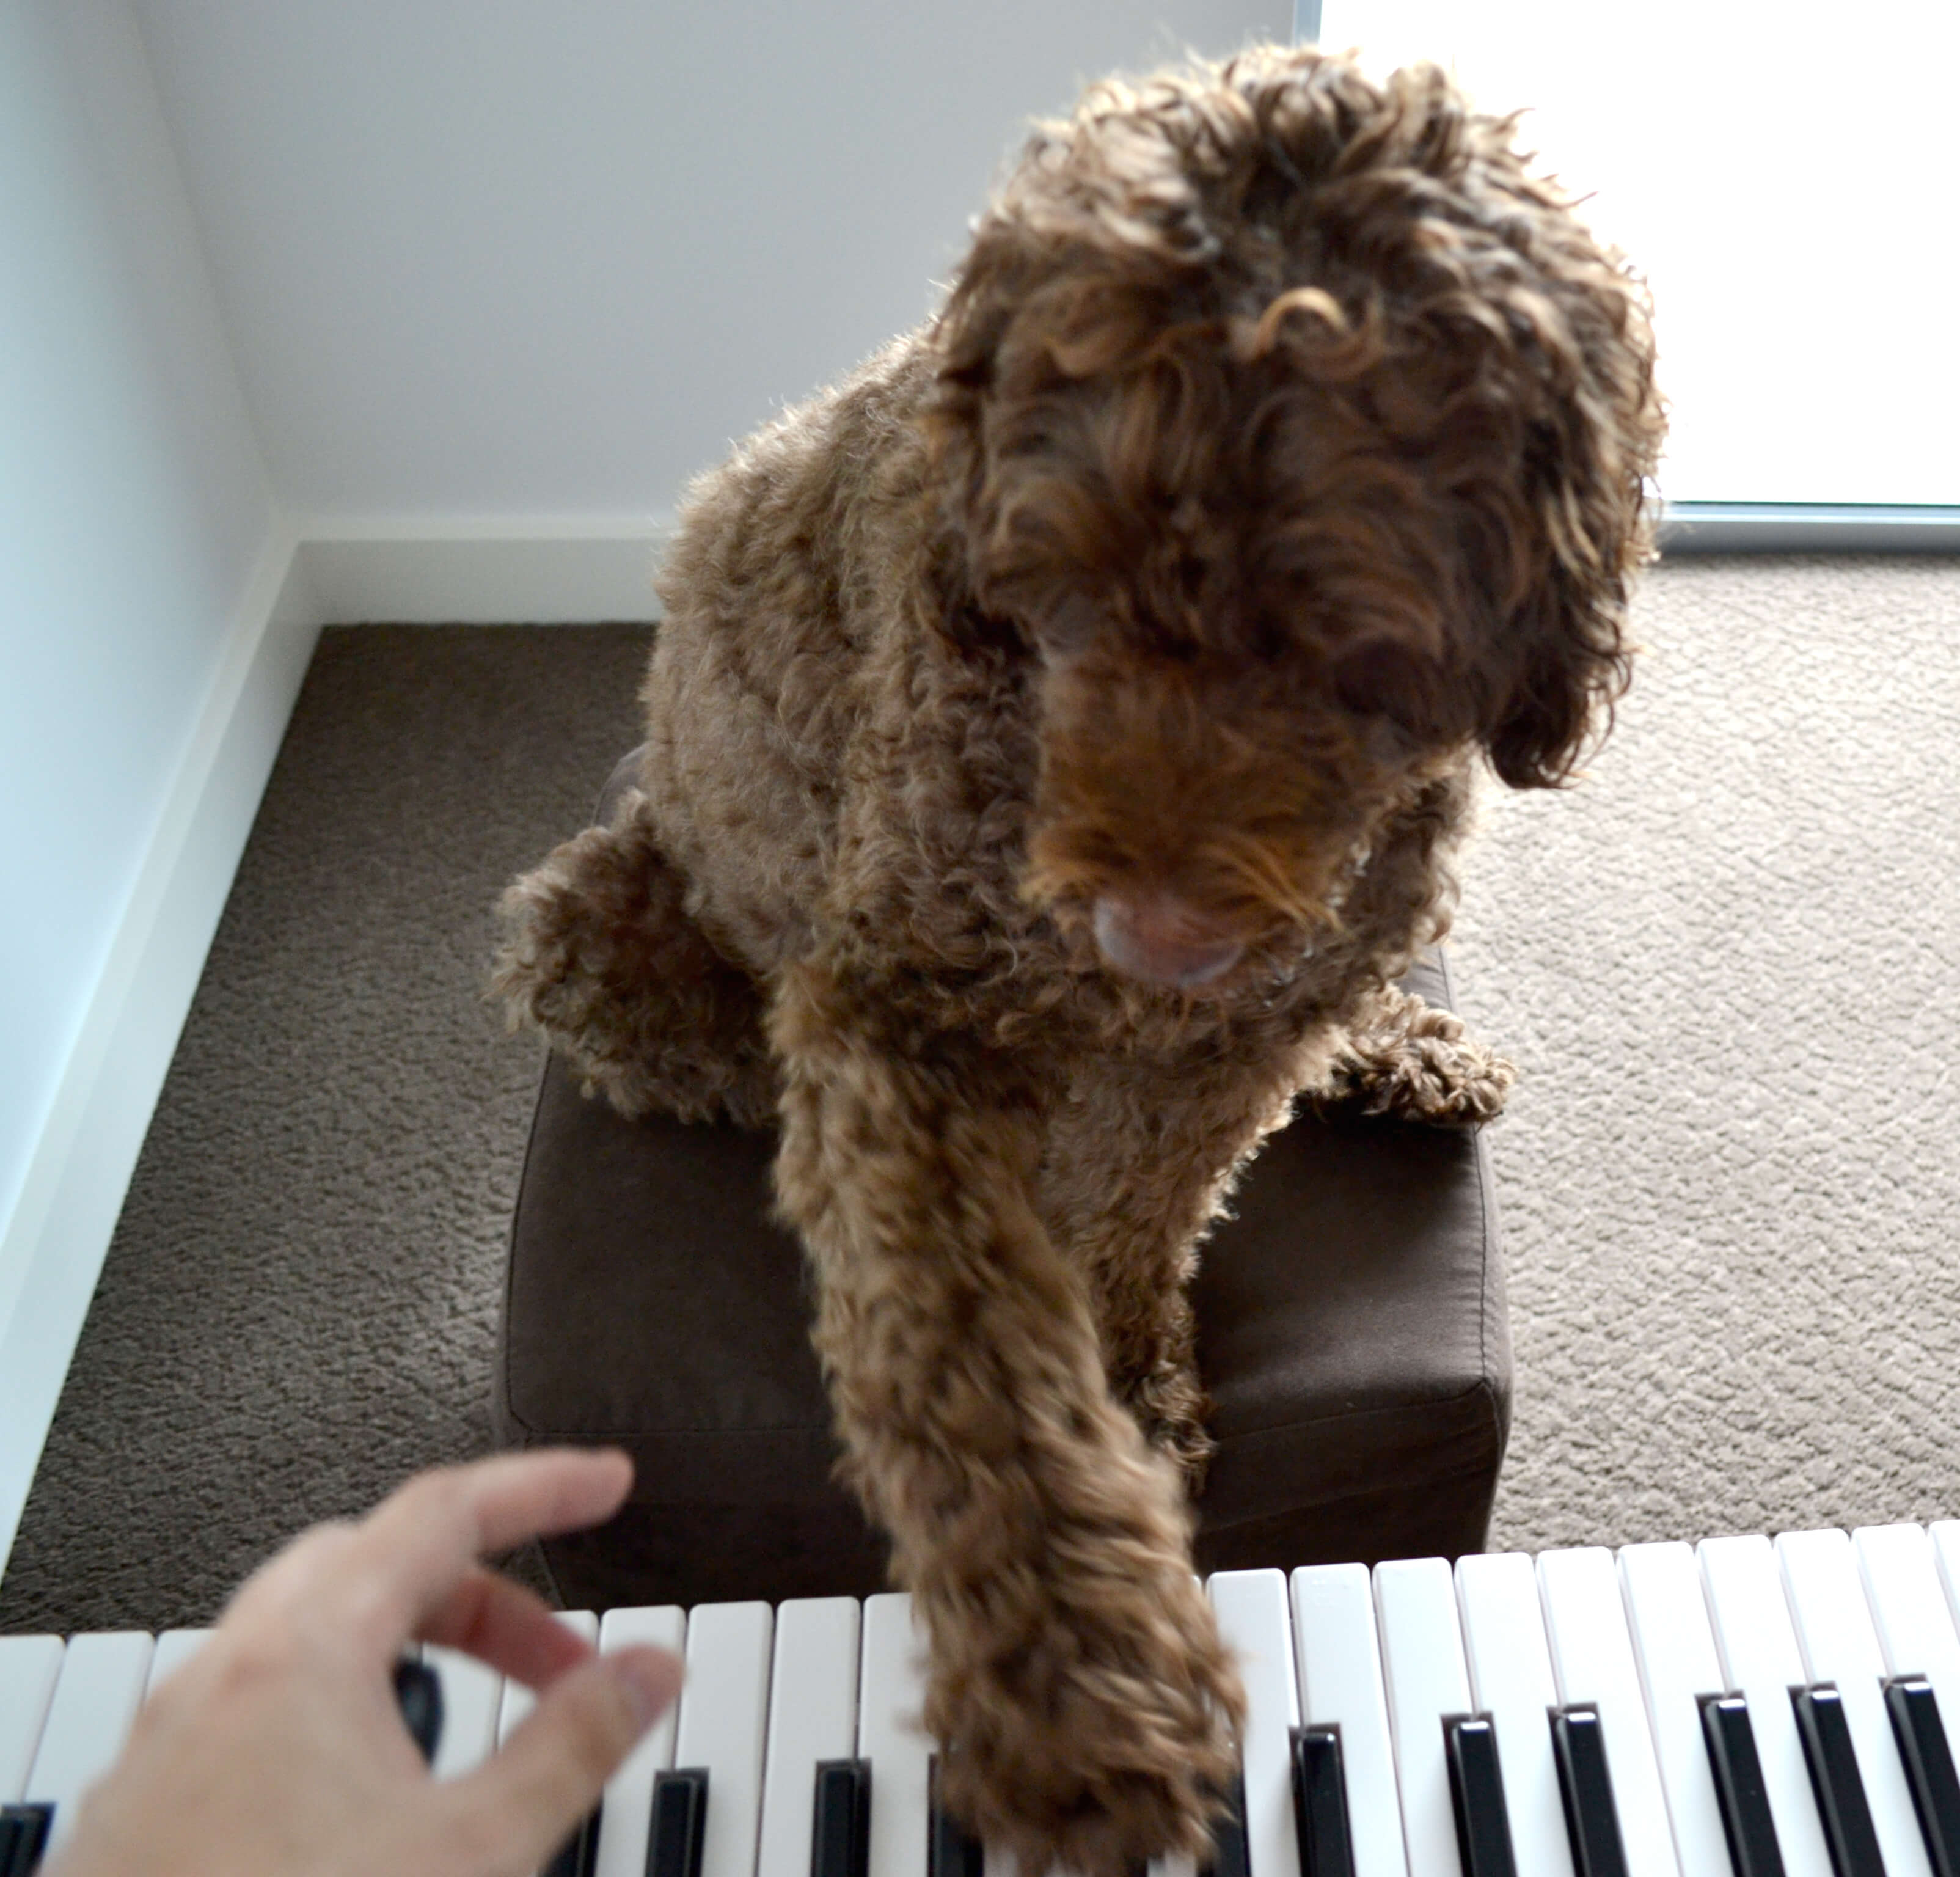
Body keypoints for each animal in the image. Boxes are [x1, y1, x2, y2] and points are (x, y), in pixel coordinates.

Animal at [497, 44, 1662, 1877]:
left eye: (1367, 633)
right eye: (1060, 582)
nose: (1157, 935)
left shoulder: (1231, 1037)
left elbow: (1147, 1206)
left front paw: (1128, 1366)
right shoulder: (892, 1016)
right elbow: (967, 1353)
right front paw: (1082, 1675)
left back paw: (1395, 1047)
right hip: (600, 922)